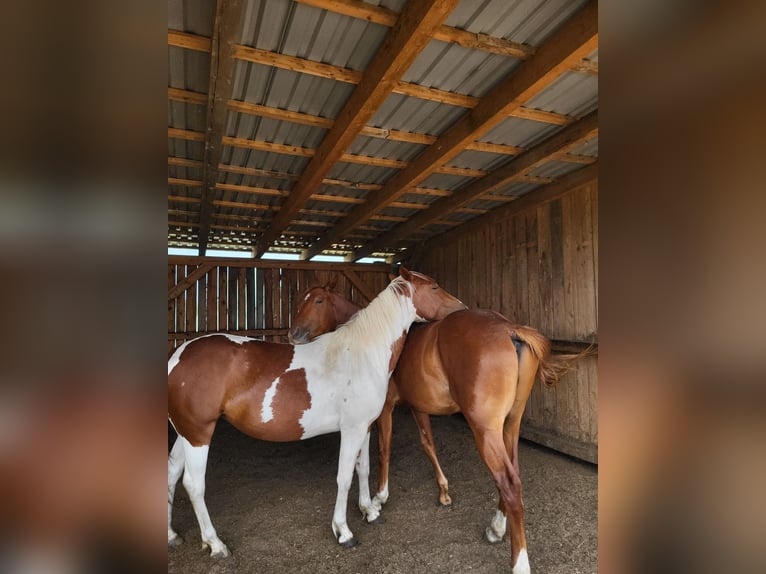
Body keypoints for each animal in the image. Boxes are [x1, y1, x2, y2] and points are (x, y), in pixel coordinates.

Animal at [167, 267, 466, 558]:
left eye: (318, 301)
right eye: (434, 287)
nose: (461, 308)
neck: (362, 353)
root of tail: (178, 356)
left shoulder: (366, 426)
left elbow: (364, 468)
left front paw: (369, 510)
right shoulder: (352, 430)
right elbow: (344, 477)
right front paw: (343, 531)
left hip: (186, 434)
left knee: (171, 474)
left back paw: (172, 535)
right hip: (198, 434)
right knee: (194, 485)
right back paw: (215, 544)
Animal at [289, 279, 588, 574]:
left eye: (317, 300)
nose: (294, 334)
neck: (376, 341)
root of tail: (509, 328)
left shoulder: (384, 410)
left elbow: (384, 451)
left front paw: (378, 499)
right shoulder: (419, 407)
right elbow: (428, 444)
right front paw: (443, 491)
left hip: (485, 430)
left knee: (509, 482)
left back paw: (518, 561)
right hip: (510, 425)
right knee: (513, 473)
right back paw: (496, 526)